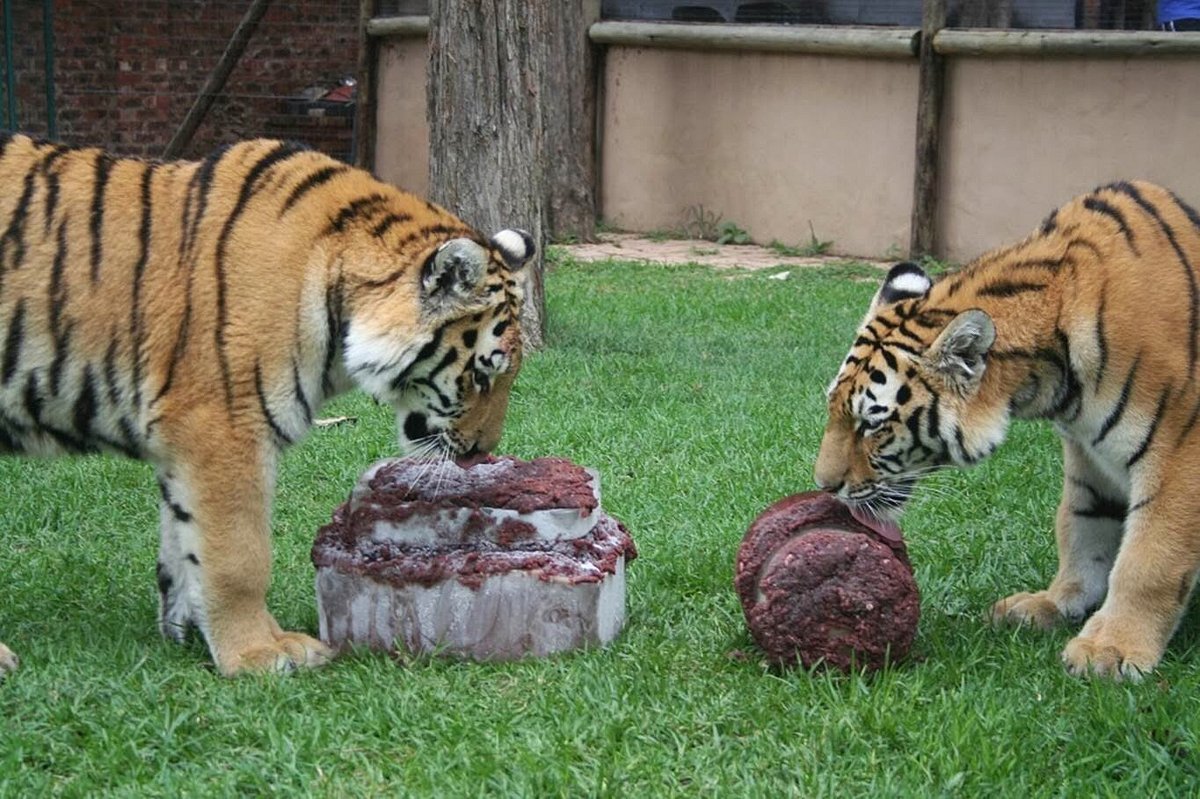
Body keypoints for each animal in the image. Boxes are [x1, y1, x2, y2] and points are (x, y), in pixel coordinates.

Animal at [0, 133, 535, 676]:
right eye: (482, 375)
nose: (480, 453)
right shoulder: (223, 428)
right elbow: (237, 556)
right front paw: (257, 652)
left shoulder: (181, 448)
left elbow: (181, 545)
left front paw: (186, 632)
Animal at [820, 179, 1200, 676]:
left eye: (871, 425)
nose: (823, 487)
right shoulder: (1089, 455)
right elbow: (1082, 530)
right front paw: (1054, 604)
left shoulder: (1179, 453)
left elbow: (1148, 558)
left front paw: (1111, 648)